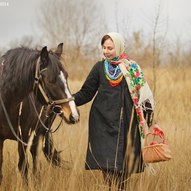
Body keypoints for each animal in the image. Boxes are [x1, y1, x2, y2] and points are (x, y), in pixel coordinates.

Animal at [0, 42, 79, 183]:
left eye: (67, 77)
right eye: (50, 80)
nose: (73, 115)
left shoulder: (24, 138)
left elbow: (24, 168)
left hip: (39, 133)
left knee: (35, 160)